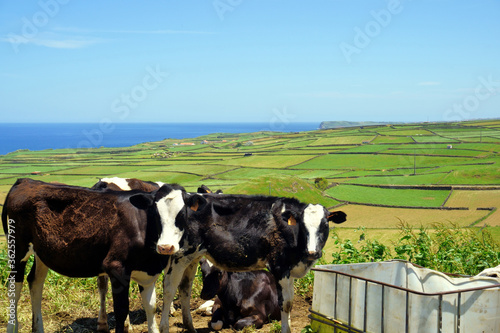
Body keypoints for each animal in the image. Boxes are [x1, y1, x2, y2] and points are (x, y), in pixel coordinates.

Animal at [2, 179, 197, 332]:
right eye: (156, 212)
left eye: (183, 214)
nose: (165, 247)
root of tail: (25, 181)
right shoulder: (116, 268)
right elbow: (121, 311)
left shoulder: (147, 273)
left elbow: (151, 307)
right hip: (17, 248)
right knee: (14, 287)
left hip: (42, 252)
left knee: (35, 282)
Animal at [142, 189, 348, 332]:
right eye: (304, 226)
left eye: (325, 225)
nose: (312, 252)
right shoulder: (279, 266)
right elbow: (285, 303)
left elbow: (288, 303)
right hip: (178, 254)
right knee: (169, 289)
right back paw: (165, 327)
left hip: (192, 257)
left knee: (185, 288)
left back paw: (190, 327)